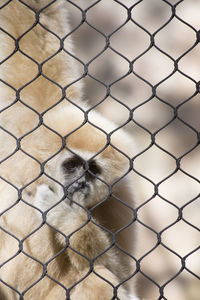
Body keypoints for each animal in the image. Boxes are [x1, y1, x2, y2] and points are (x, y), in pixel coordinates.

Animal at [0, 1, 138, 298]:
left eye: (93, 170)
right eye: (72, 164)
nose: (80, 182)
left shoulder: (120, 199)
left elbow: (124, 280)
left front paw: (69, 217)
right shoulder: (25, 124)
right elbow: (31, 17)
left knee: (99, 278)